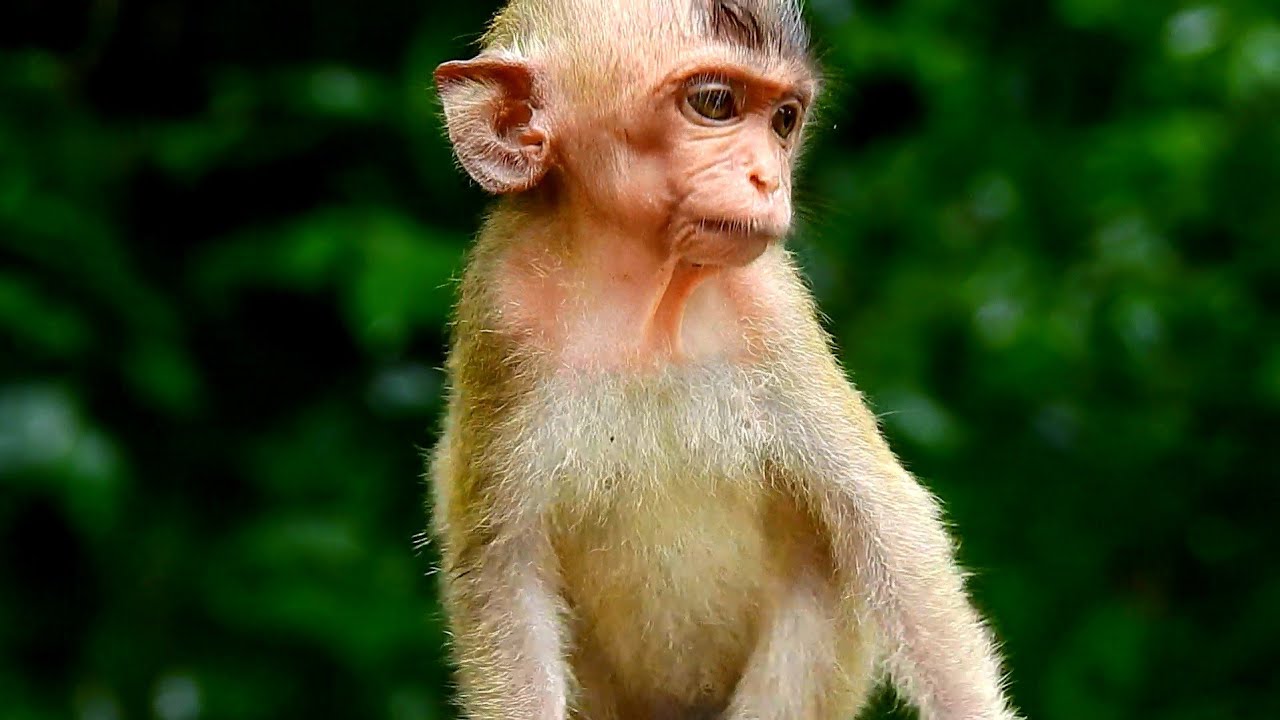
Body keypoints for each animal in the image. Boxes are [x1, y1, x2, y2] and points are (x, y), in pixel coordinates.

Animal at [426, 1, 1020, 719]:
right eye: (714, 104)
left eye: (784, 120)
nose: (769, 177)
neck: (644, 305)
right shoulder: (501, 313)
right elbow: (501, 567)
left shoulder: (773, 309)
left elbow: (883, 519)